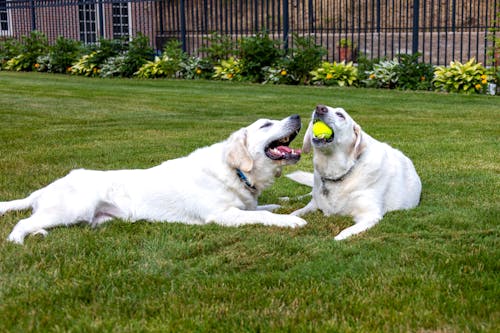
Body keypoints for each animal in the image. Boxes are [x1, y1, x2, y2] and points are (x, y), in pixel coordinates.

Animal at [1, 115, 304, 244]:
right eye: (266, 125)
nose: (298, 115)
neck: (235, 172)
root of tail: (46, 187)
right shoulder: (222, 215)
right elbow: (262, 215)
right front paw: (290, 220)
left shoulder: (244, 205)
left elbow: (262, 208)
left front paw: (281, 207)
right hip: (71, 209)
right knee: (21, 223)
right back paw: (18, 241)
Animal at [288, 105, 420, 240]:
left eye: (340, 115)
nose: (319, 108)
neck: (338, 172)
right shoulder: (314, 204)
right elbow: (295, 212)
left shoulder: (370, 214)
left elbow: (344, 233)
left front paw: (335, 239)